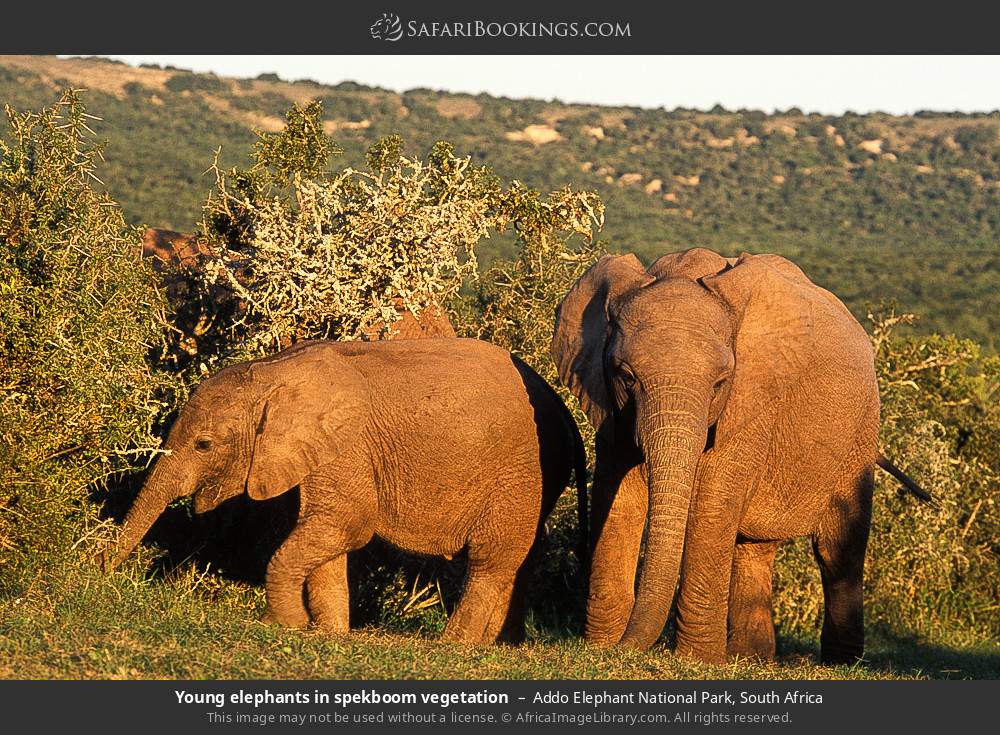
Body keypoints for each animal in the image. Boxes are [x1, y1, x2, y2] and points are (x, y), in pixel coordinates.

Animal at [104, 337, 587, 644]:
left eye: (204, 445)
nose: (102, 575)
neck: (274, 370)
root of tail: (563, 409)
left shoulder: (348, 444)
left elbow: (346, 525)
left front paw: (288, 624)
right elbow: (326, 538)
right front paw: (329, 632)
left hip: (521, 469)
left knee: (492, 558)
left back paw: (455, 645)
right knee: (519, 557)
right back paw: (499, 644)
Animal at [551, 247, 932, 664]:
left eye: (720, 383)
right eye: (626, 376)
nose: (628, 648)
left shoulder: (753, 395)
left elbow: (713, 499)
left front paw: (697, 660)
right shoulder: (608, 400)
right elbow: (619, 494)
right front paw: (601, 647)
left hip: (861, 428)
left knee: (837, 548)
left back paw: (841, 662)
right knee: (755, 546)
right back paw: (752, 659)